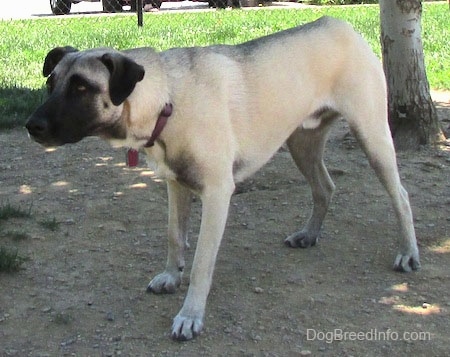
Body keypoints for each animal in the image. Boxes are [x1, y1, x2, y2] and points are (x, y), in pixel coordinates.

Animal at [24, 16, 420, 340]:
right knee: (325, 187)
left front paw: (190, 315)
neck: (167, 97)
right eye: (51, 84)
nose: (32, 126)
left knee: (401, 195)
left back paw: (408, 253)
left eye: (82, 88)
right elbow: (174, 237)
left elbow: (202, 262)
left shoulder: (216, 194)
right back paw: (309, 234)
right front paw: (171, 275)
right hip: (301, 143)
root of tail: (341, 26)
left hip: (372, 137)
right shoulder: (175, 185)